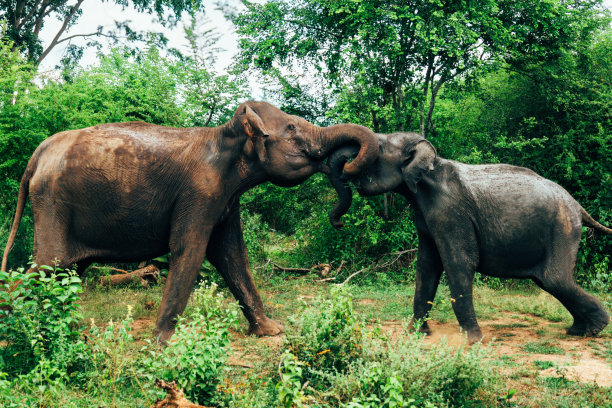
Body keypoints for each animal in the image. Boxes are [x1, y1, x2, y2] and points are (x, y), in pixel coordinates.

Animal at [330, 132, 612, 342]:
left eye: (378, 147)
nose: (339, 223)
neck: (432, 163)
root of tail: (579, 207)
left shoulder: (451, 213)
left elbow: (459, 263)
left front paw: (473, 341)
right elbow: (427, 267)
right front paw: (414, 334)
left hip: (562, 228)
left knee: (554, 279)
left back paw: (591, 330)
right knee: (550, 281)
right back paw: (581, 330)